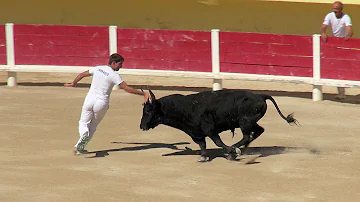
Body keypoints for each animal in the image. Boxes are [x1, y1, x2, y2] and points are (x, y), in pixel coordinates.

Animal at [139, 89, 296, 162]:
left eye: (148, 111)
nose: (141, 126)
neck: (184, 107)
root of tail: (260, 95)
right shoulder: (196, 132)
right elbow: (202, 144)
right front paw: (203, 157)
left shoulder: (209, 128)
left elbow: (218, 142)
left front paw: (230, 151)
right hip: (250, 121)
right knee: (258, 131)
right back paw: (243, 149)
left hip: (244, 121)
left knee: (247, 135)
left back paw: (235, 150)